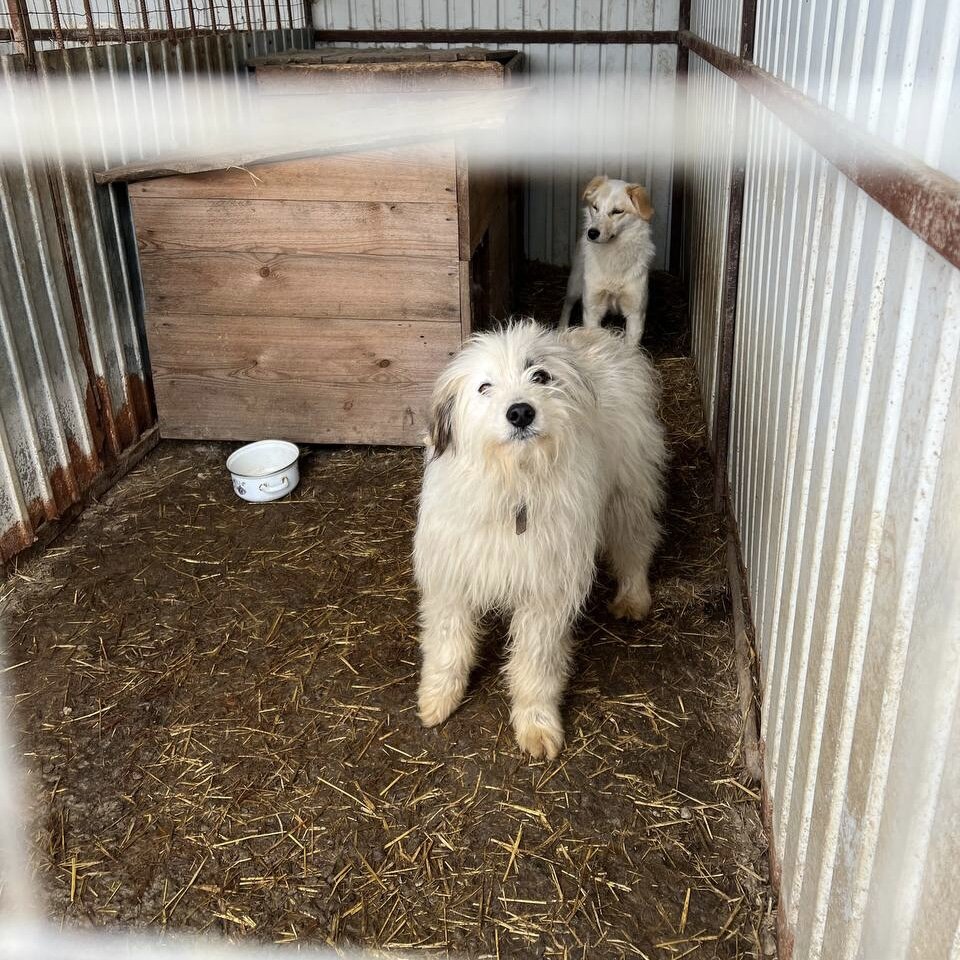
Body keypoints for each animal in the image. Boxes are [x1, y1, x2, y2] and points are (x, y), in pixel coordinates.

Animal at [412, 320, 668, 756]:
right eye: (484, 386)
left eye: (541, 375)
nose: (520, 412)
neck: (514, 483)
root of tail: (597, 335)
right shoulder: (451, 580)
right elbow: (448, 646)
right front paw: (438, 697)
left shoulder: (545, 591)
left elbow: (535, 664)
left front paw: (537, 723)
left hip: (625, 494)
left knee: (636, 542)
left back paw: (633, 596)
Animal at [560, 176, 656, 348]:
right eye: (595, 207)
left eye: (617, 211)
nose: (591, 233)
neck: (614, 254)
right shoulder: (592, 309)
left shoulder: (635, 313)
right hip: (575, 285)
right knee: (567, 305)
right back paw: (561, 329)